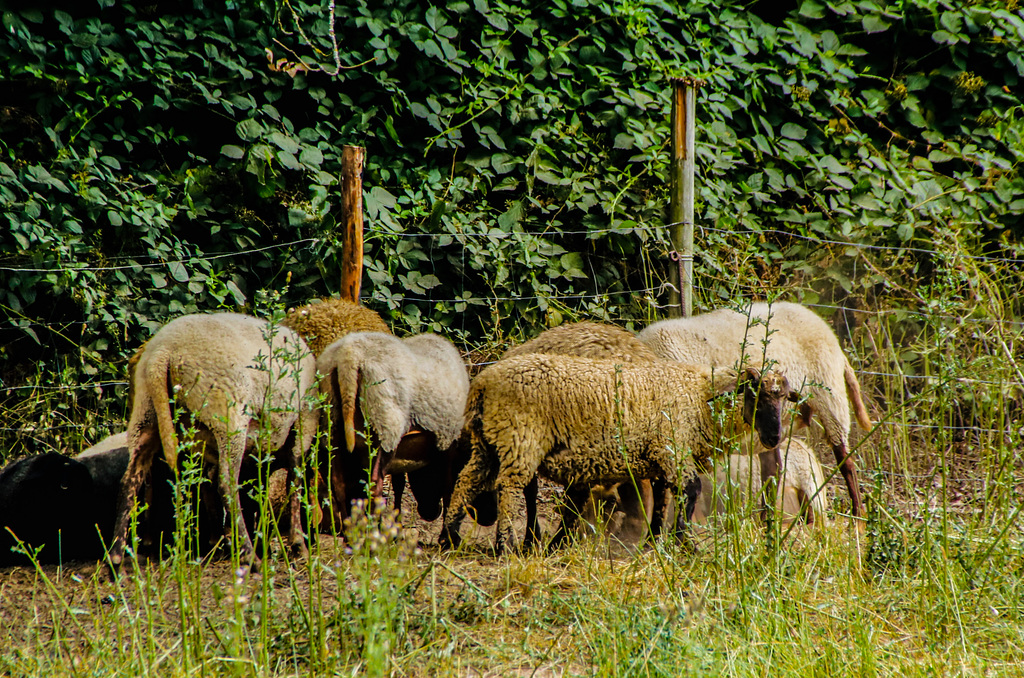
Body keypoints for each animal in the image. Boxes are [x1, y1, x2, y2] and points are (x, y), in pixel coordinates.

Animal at [109, 313, 317, 573]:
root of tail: (162, 352)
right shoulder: (304, 422)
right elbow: (295, 479)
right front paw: (298, 543)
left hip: (146, 414)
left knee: (130, 479)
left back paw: (116, 556)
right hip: (227, 413)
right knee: (227, 483)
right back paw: (250, 556)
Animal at [436, 352, 794, 557]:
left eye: (784, 399)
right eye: (755, 395)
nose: (774, 437)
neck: (701, 396)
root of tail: (483, 382)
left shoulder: (659, 455)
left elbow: (662, 499)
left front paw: (653, 542)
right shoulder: (672, 446)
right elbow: (689, 492)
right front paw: (683, 542)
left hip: (487, 441)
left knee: (467, 481)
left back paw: (448, 537)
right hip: (519, 438)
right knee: (508, 488)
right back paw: (505, 546)